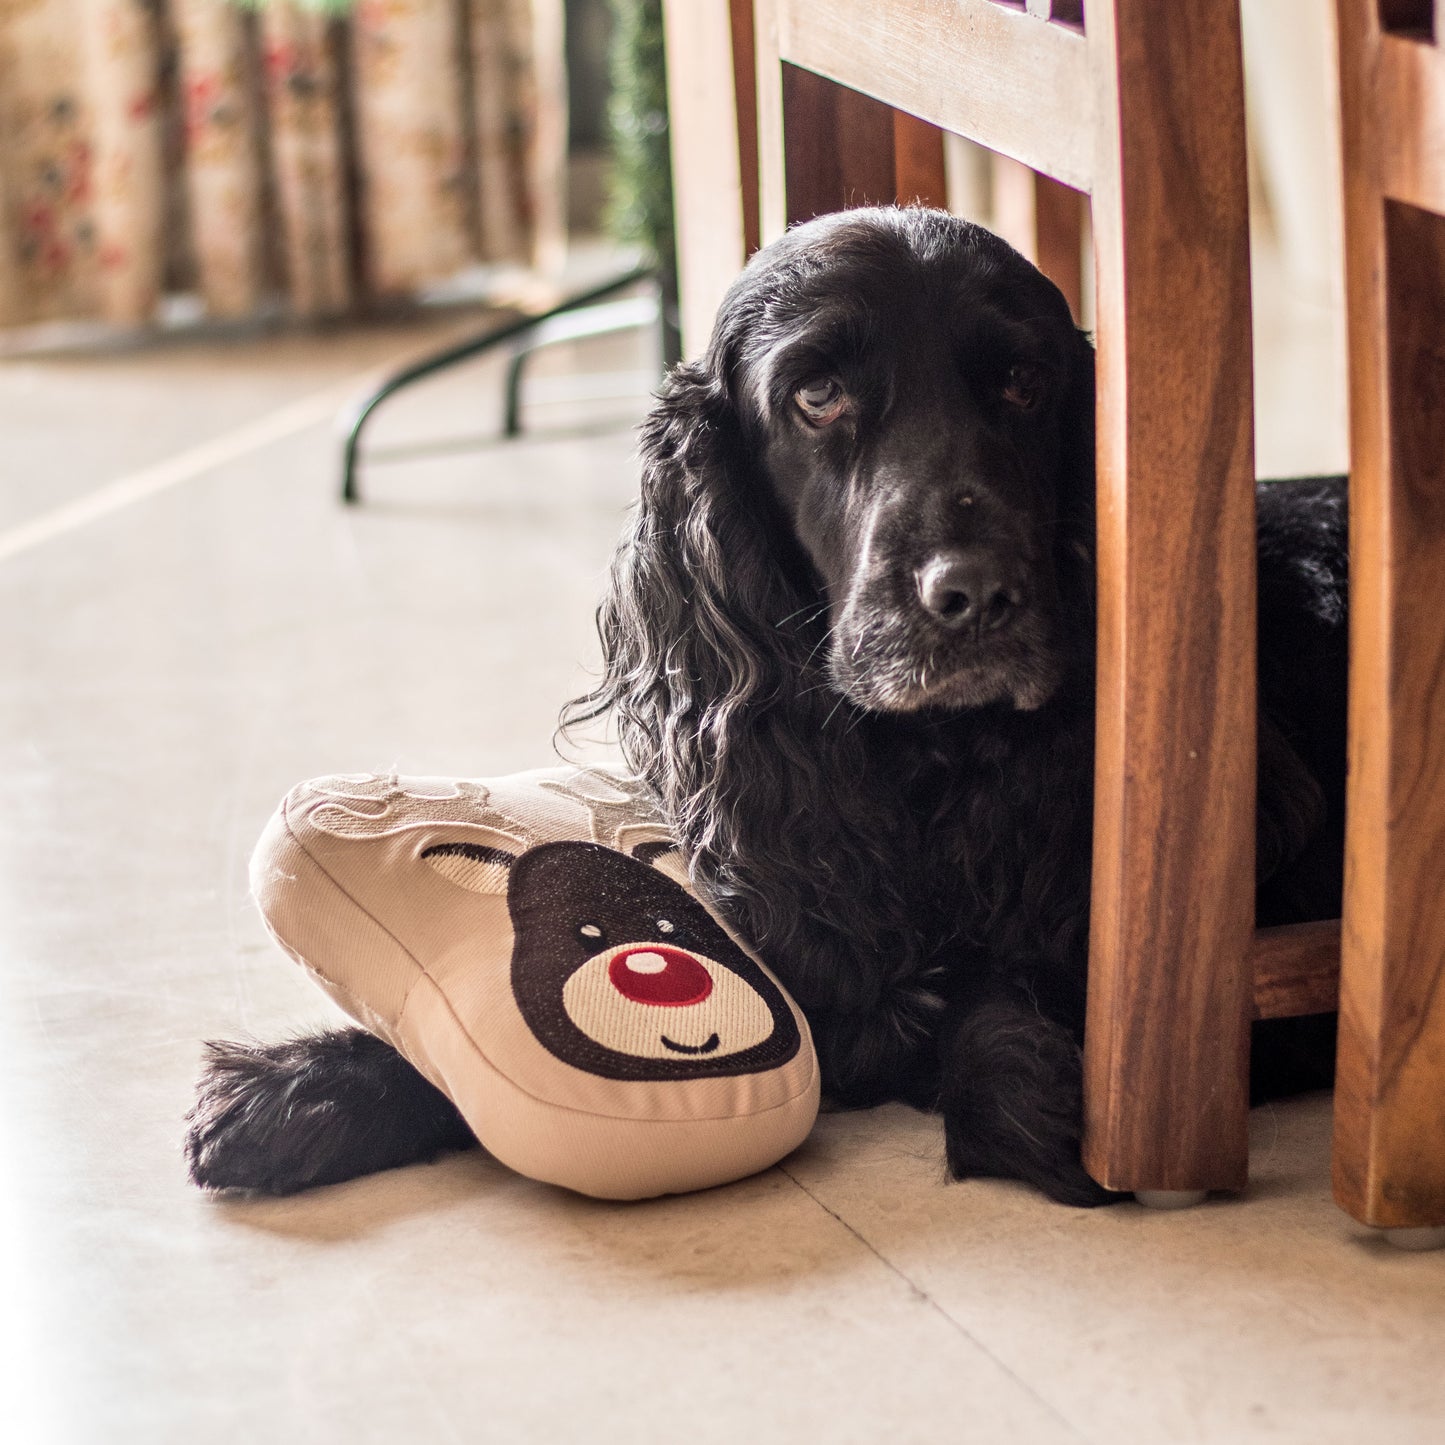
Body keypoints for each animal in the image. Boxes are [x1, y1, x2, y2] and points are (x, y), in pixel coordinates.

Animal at [186, 210, 1346, 1208]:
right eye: (817, 394)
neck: (924, 766)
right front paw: (298, 1084)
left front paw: (1033, 1089)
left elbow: (993, 1016)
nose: (971, 593)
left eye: (1023, 382)